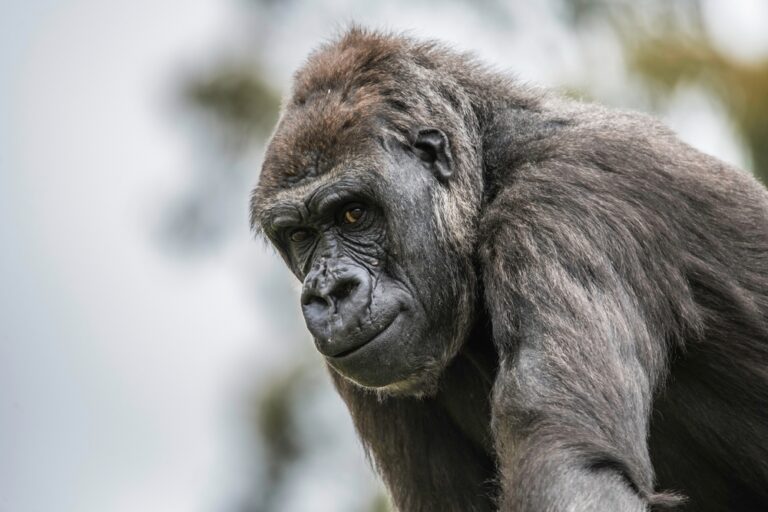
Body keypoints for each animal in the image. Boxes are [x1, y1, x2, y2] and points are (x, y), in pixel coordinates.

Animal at [250, 28, 768, 511]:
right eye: (300, 235)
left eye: (353, 214)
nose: (329, 291)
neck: (486, 181)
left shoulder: (563, 200)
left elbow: (578, 466)